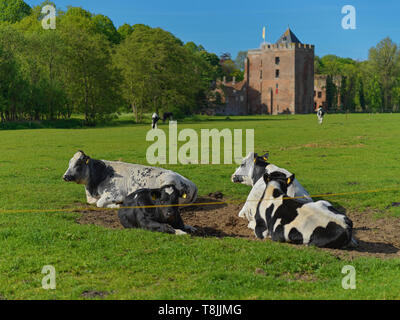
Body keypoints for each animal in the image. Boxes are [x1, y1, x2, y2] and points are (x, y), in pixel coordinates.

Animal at [62, 151, 197, 209]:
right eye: (69, 162)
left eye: (78, 164)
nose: (65, 176)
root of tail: (192, 184)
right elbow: (94, 202)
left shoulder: (115, 194)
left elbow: (99, 203)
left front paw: (117, 205)